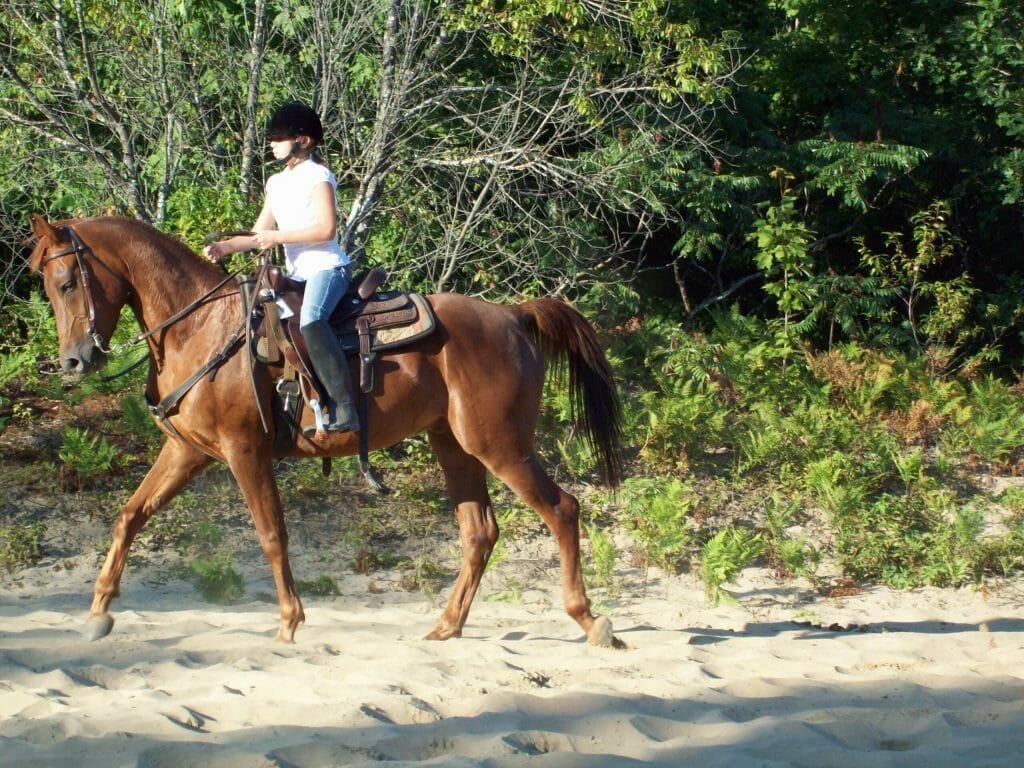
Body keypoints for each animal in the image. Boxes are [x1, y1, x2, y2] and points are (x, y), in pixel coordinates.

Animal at [28, 214, 624, 646]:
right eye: (48, 289)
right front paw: (99, 610)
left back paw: (589, 620)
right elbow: (130, 517)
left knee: (561, 509)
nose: (73, 362)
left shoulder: (245, 451)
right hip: (453, 446)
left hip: (500, 445)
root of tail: (512, 316)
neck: (199, 330)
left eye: (67, 281)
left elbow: (272, 534)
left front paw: (290, 621)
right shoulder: (186, 453)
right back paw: (447, 626)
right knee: (479, 532)